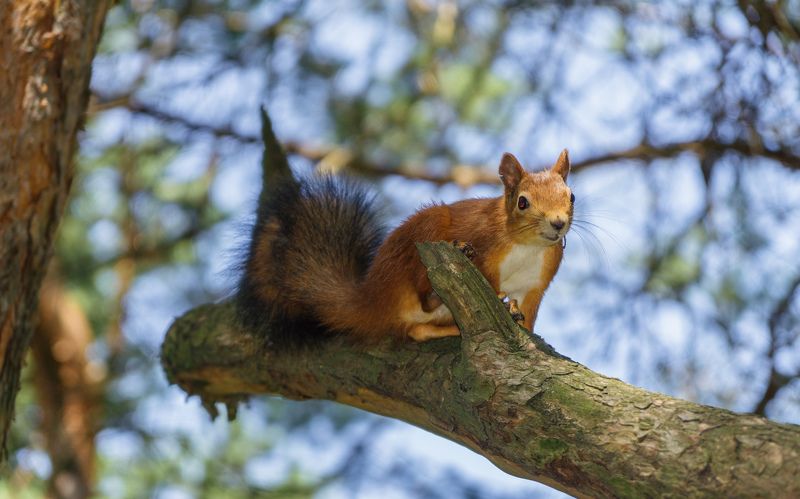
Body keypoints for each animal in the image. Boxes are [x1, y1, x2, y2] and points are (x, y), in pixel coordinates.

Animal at [237, 150, 573, 344]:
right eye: (522, 202)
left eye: (570, 196)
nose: (558, 223)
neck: (528, 247)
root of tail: (375, 297)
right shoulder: (483, 241)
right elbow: (489, 279)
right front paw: (501, 300)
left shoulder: (536, 285)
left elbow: (528, 314)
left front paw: (522, 323)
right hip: (423, 233)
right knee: (424, 301)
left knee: (417, 331)